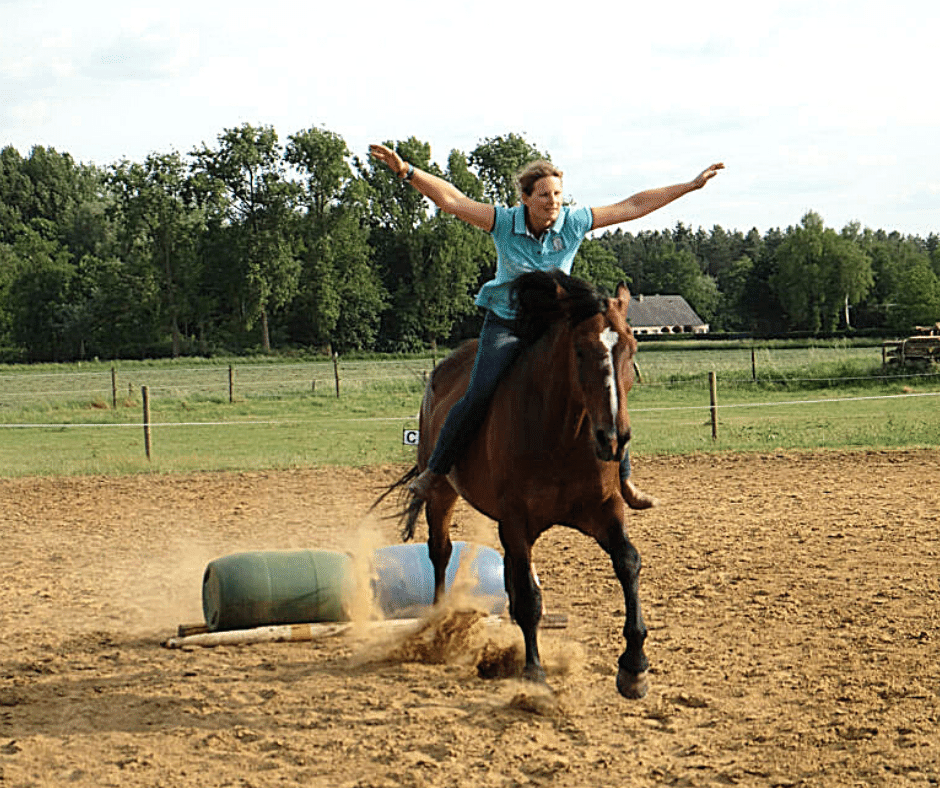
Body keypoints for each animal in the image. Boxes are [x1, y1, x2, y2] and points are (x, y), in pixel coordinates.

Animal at [378, 270, 648, 696]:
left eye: (632, 348)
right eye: (580, 350)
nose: (613, 439)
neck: (560, 436)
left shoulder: (604, 511)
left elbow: (628, 562)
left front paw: (634, 667)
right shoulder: (516, 522)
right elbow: (528, 598)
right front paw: (534, 671)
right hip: (442, 494)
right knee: (440, 552)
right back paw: (439, 624)